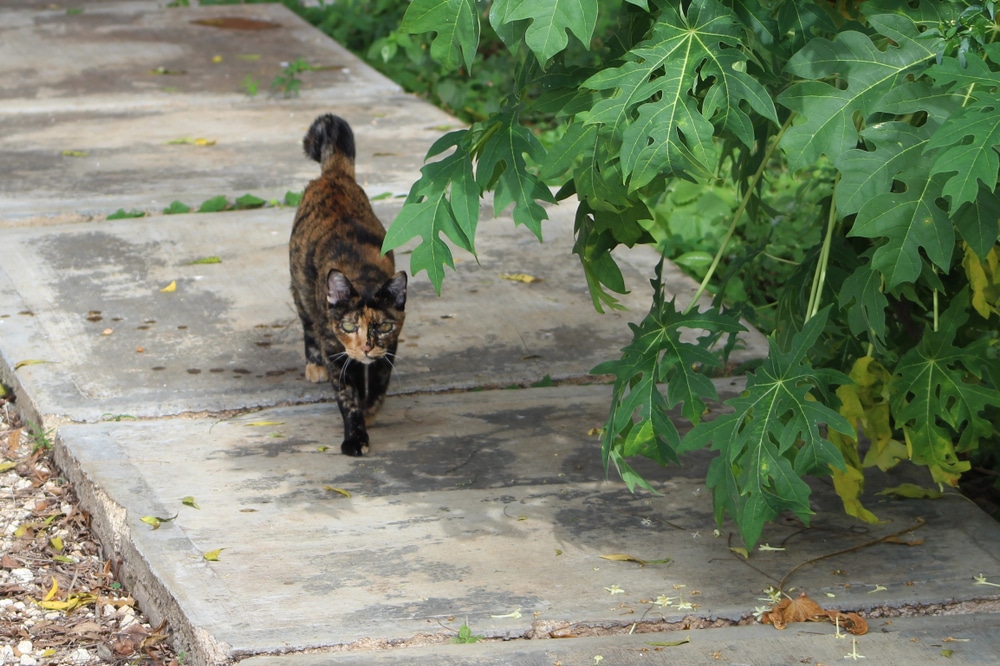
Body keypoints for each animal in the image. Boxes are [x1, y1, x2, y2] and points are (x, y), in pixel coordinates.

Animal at [290, 115, 406, 456]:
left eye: (383, 326)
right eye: (349, 325)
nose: (366, 346)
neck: (361, 273)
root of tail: (335, 174)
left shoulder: (389, 348)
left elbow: (379, 382)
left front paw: (371, 409)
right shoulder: (334, 350)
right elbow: (346, 396)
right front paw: (356, 435)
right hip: (301, 289)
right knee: (306, 323)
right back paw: (312, 365)